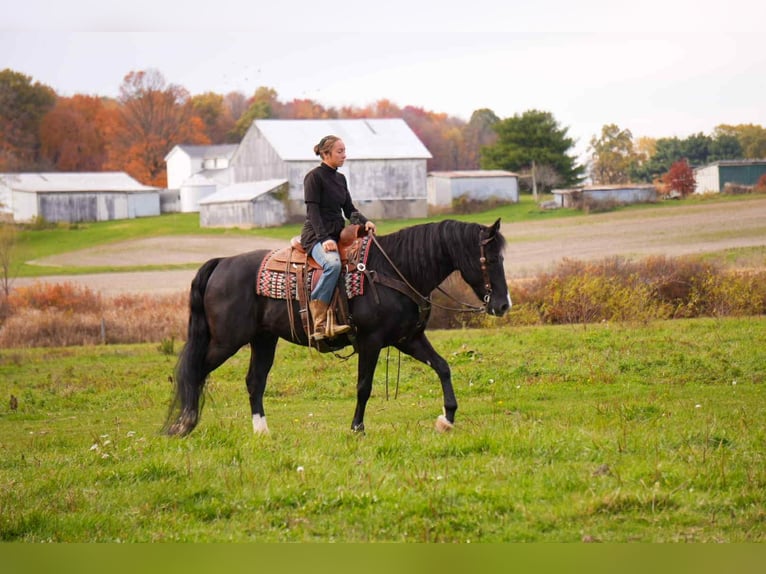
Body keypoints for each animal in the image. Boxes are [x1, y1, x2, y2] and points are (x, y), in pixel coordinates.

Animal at [164, 218, 511, 437]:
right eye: (491, 260)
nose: (503, 304)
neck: (394, 270)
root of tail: (222, 263)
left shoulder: (408, 338)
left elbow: (442, 367)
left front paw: (447, 418)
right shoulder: (371, 341)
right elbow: (364, 386)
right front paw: (357, 427)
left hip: (263, 339)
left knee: (254, 381)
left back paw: (261, 431)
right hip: (226, 340)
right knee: (195, 371)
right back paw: (183, 424)